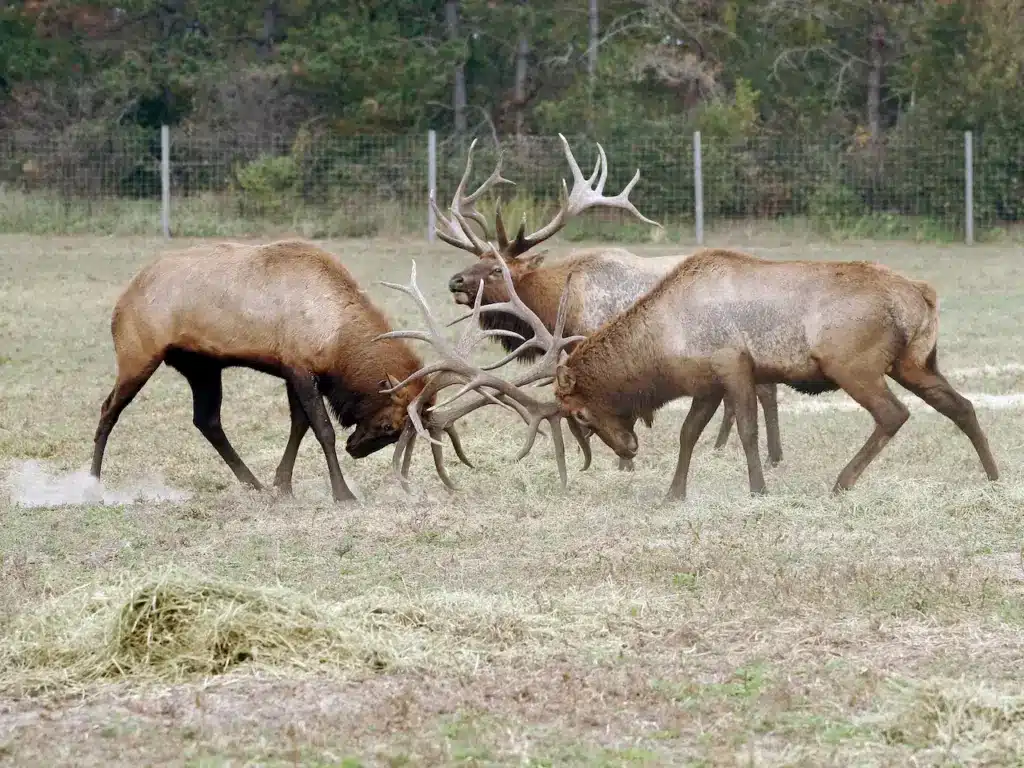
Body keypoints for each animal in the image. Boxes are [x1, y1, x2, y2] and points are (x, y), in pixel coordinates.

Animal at [90, 241, 462, 505]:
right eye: (389, 426)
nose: (354, 449)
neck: (336, 339)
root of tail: (121, 301)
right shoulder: (299, 366)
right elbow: (322, 428)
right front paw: (343, 493)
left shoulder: (291, 369)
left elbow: (299, 425)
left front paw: (282, 485)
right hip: (138, 356)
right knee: (108, 410)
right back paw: (92, 483)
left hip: (202, 366)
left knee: (207, 420)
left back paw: (255, 484)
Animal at [428, 134, 786, 466]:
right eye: (478, 259)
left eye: (496, 270)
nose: (454, 281)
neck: (558, 305)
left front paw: (620, 459)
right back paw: (728, 446)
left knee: (765, 390)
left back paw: (772, 454)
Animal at [552, 246, 999, 499]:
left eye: (580, 414)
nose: (627, 449)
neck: (666, 345)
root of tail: (923, 294)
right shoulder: (708, 382)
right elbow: (688, 433)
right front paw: (674, 494)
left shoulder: (733, 363)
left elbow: (747, 430)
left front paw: (758, 488)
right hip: (915, 364)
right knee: (962, 406)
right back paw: (994, 476)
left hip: (852, 364)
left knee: (894, 413)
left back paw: (841, 482)